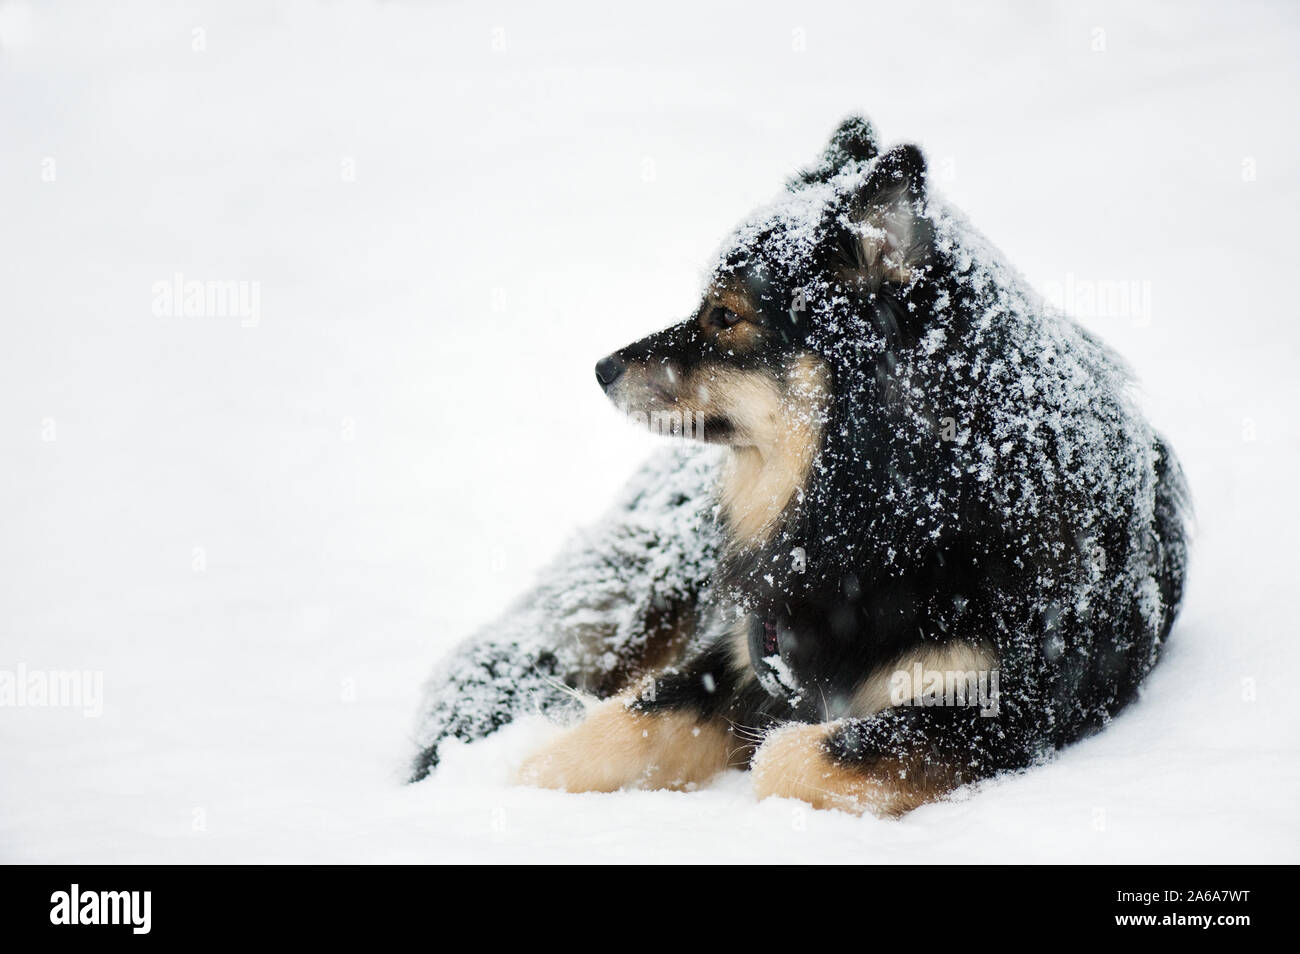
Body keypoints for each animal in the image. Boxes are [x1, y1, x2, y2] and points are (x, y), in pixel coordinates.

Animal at [413, 117, 1190, 821]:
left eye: (725, 316)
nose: (601, 369)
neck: (892, 510)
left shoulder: (997, 710)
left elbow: (786, 760)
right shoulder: (740, 648)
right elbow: (608, 731)